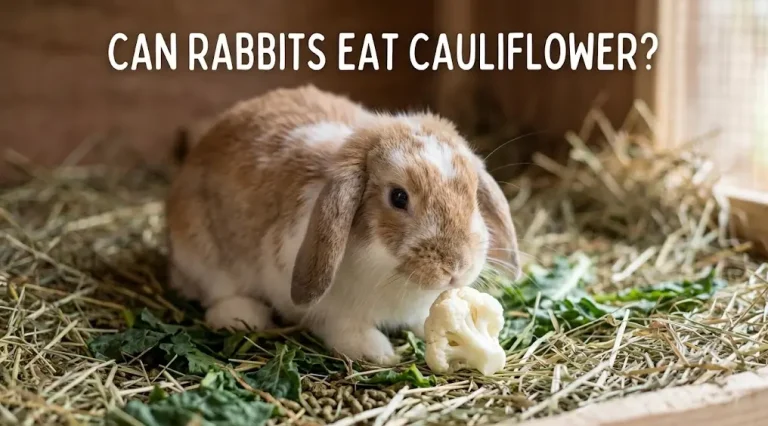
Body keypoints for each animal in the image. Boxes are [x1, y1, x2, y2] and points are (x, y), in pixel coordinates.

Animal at [166, 85, 520, 365]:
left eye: (473, 193)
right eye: (399, 197)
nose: (456, 268)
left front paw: (425, 328)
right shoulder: (324, 307)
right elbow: (343, 326)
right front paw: (377, 352)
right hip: (200, 250)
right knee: (216, 293)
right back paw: (243, 317)